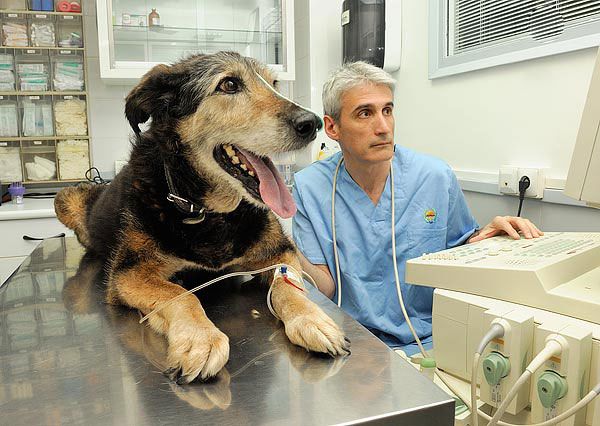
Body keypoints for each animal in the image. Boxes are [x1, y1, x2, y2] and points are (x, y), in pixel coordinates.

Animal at [55, 51, 352, 384]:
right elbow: (180, 295)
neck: (207, 212)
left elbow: (289, 286)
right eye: (229, 84)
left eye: (274, 83)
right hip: (64, 199)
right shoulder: (128, 274)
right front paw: (201, 338)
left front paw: (312, 319)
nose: (312, 123)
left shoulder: (281, 252)